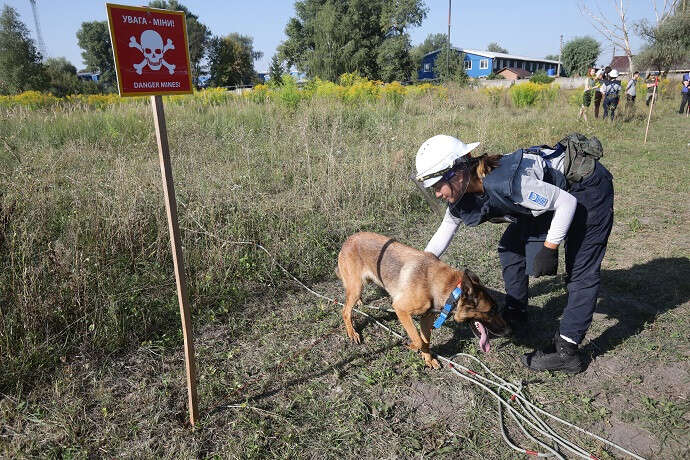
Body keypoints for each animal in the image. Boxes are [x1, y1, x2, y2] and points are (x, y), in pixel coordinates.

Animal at [336, 232, 508, 368]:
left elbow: (425, 340)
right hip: (356, 288)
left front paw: (428, 358)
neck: (451, 291)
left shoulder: (427, 317)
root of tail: (348, 239)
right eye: (491, 311)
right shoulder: (400, 309)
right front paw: (413, 345)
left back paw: (359, 304)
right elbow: (418, 339)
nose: (509, 331)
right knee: (345, 310)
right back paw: (352, 332)